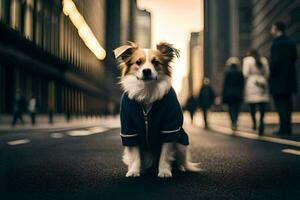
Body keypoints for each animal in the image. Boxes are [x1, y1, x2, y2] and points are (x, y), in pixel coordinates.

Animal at [113, 41, 200, 178]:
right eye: (138, 62)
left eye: (156, 62)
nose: (147, 71)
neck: (147, 91)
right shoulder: (129, 130)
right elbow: (135, 155)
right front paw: (134, 171)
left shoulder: (169, 129)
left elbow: (165, 154)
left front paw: (164, 171)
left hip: (181, 143)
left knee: (179, 159)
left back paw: (179, 168)